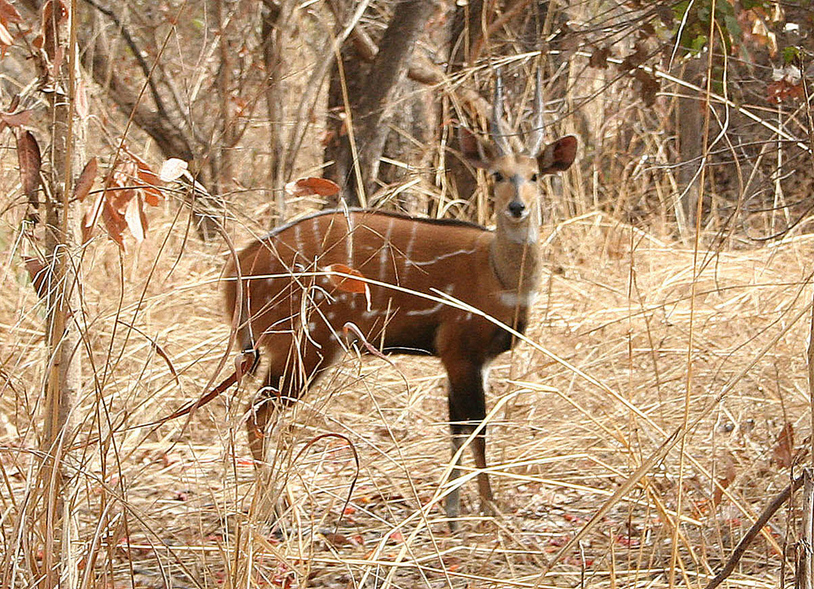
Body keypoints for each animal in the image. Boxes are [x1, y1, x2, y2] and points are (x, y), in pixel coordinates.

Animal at [225, 74, 580, 528]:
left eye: (535, 175)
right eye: (499, 174)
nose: (517, 208)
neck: (499, 275)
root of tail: (237, 268)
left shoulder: (473, 360)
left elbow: (459, 428)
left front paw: (454, 512)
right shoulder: (459, 350)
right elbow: (475, 428)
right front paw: (485, 511)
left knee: (258, 414)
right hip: (304, 346)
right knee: (257, 415)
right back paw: (276, 510)